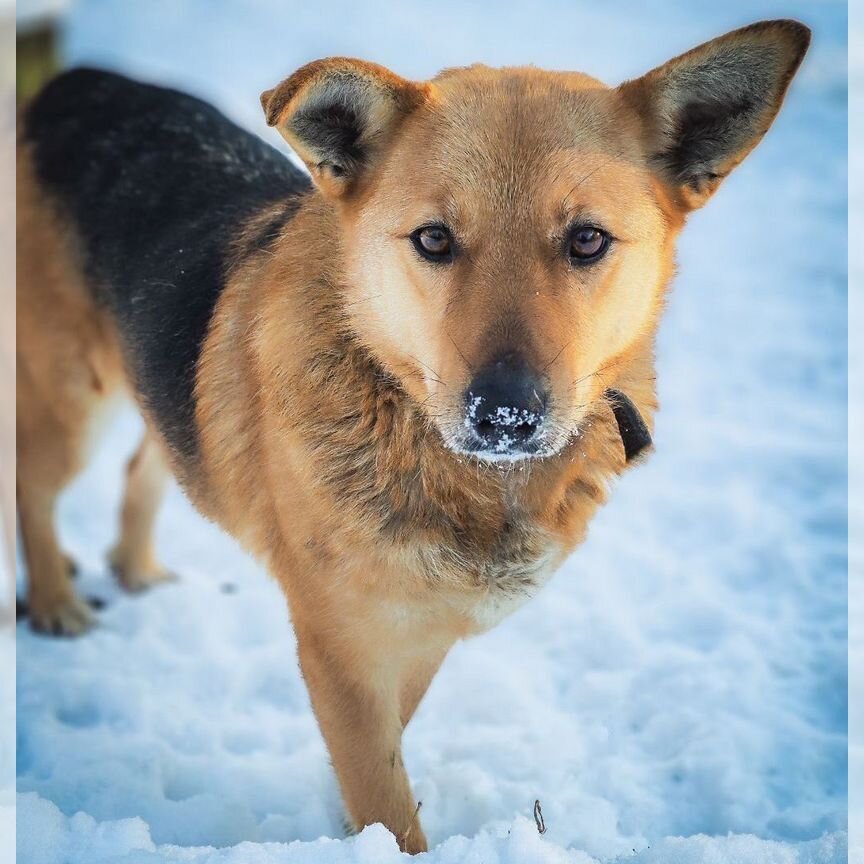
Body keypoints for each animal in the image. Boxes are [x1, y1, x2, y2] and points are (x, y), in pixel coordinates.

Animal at [15, 18, 808, 852]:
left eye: (588, 240)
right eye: (433, 239)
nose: (506, 414)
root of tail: (79, 82)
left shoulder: (421, 636)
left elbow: (388, 753)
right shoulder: (344, 645)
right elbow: (385, 797)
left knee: (147, 461)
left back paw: (133, 567)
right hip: (72, 403)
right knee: (32, 486)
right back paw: (55, 602)